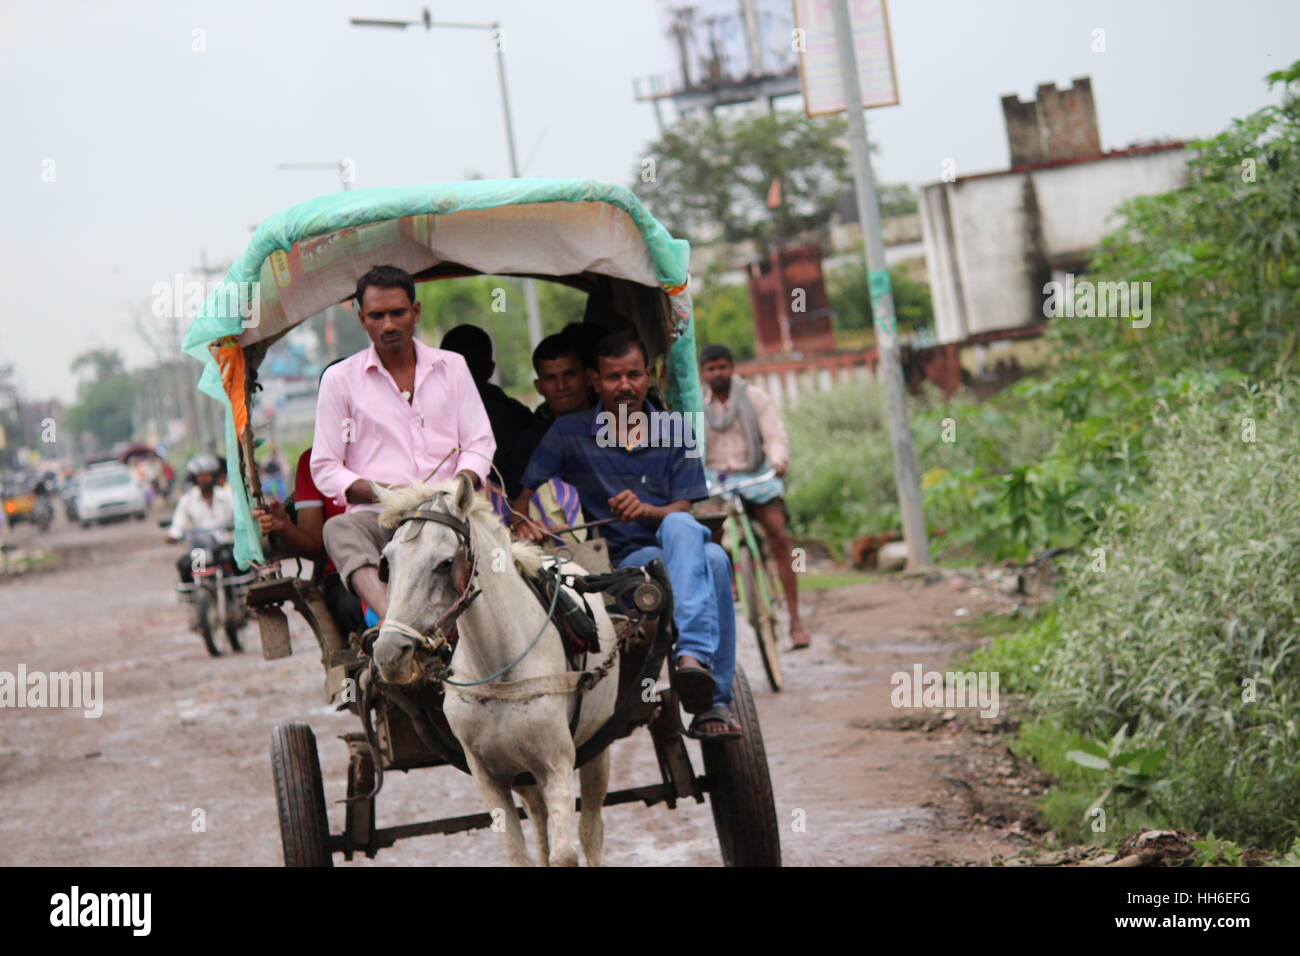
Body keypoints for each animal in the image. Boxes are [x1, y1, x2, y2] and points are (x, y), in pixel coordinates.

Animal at [371, 476, 618, 868]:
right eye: (386, 563)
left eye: (445, 563)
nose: (389, 653)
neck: (500, 669)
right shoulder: (488, 776)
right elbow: (520, 854)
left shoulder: (557, 763)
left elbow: (565, 854)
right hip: (523, 773)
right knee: (539, 821)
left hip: (597, 746)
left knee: (591, 830)